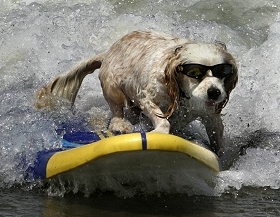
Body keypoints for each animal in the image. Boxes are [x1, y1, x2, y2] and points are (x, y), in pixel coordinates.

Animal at [34, 31, 237, 156]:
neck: (182, 93)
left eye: (223, 72)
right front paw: (158, 132)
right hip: (112, 87)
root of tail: (107, 52)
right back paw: (120, 125)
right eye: (195, 73)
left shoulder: (210, 116)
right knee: (117, 111)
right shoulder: (146, 97)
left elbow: (218, 138)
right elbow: (163, 121)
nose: (215, 92)